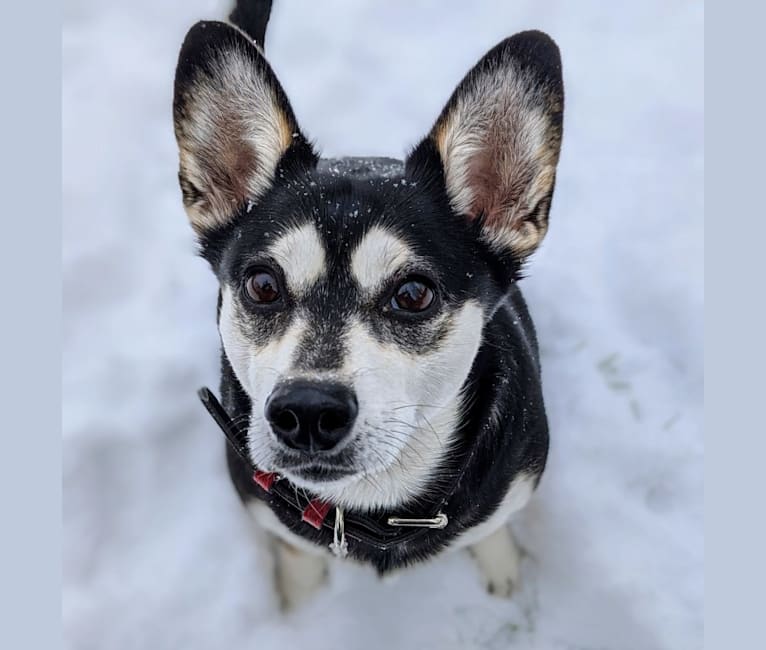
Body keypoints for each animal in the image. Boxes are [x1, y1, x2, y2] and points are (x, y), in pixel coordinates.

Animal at [177, 0, 568, 608]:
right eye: (262, 285)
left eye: (412, 294)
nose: (307, 412)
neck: (372, 505)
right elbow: (296, 555)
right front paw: (300, 603)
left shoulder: (517, 482)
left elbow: (493, 527)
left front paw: (502, 567)